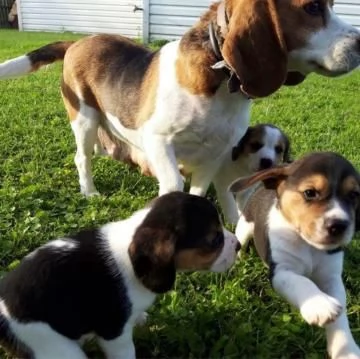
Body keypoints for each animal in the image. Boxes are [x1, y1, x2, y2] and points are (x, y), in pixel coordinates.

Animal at [0, 0, 360, 198]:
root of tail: (78, 42)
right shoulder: (158, 141)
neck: (219, 80)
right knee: (82, 158)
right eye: (313, 7)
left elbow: (199, 191)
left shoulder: (216, 154)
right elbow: (173, 182)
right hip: (84, 119)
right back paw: (89, 192)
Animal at [231, 153, 360, 359]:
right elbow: (301, 281)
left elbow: (341, 314)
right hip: (244, 227)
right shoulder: (281, 271)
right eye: (310, 192)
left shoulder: (331, 278)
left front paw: (346, 349)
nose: (339, 226)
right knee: (240, 243)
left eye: (354, 195)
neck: (308, 245)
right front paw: (319, 304)